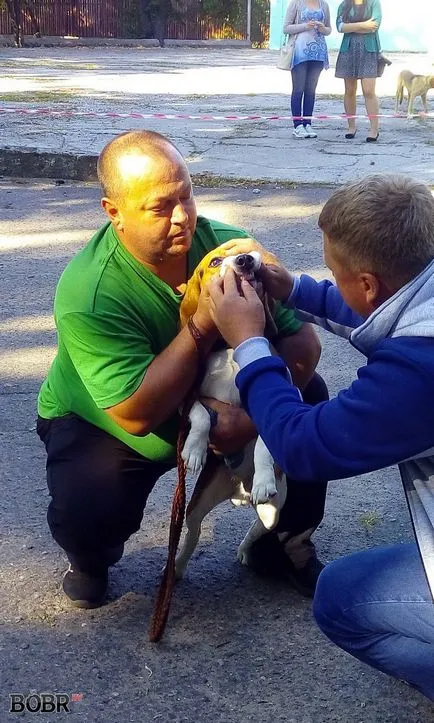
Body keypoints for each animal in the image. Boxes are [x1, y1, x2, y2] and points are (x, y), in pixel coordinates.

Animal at [175, 246, 286, 580]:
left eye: (248, 252)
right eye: (214, 261)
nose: (245, 260)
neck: (233, 347)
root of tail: (239, 487)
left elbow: (263, 445)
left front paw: (264, 477)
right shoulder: (190, 399)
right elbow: (201, 416)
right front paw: (194, 450)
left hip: (274, 511)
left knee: (257, 529)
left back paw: (245, 548)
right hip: (197, 504)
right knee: (193, 533)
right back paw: (177, 566)